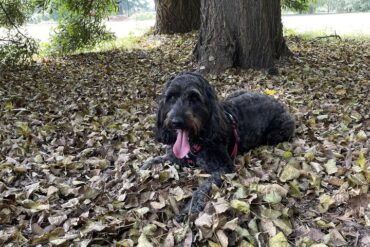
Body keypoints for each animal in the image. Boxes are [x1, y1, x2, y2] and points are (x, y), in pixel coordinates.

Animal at [142, 73, 294, 218]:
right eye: (171, 97)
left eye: (194, 98)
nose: (176, 122)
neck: (196, 142)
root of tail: (277, 101)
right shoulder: (175, 156)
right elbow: (158, 158)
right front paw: (145, 167)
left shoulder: (223, 168)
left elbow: (204, 187)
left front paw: (189, 208)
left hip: (278, 130)